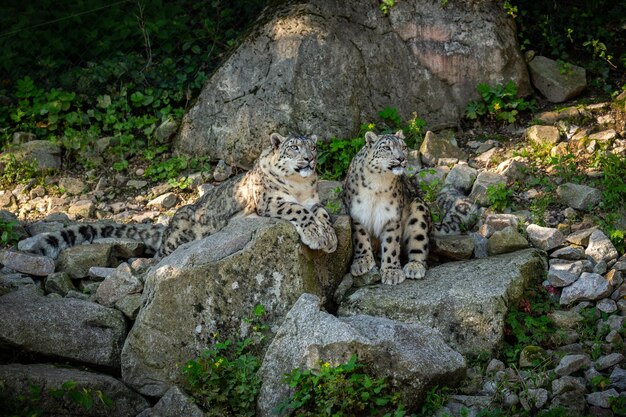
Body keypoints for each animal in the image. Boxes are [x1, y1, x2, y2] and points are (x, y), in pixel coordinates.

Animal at [18, 132, 336, 256]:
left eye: (313, 146)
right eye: (294, 147)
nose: (309, 159)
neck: (300, 186)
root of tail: (168, 224)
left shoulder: (315, 200)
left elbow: (321, 213)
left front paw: (329, 237)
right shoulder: (271, 200)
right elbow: (299, 211)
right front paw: (317, 236)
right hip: (175, 240)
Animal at [342, 132, 428, 284]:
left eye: (404, 147)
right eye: (387, 148)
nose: (401, 158)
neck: (377, 183)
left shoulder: (391, 216)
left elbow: (391, 244)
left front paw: (392, 272)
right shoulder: (357, 213)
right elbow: (360, 238)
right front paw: (362, 262)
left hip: (418, 211)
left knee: (419, 240)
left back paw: (414, 267)